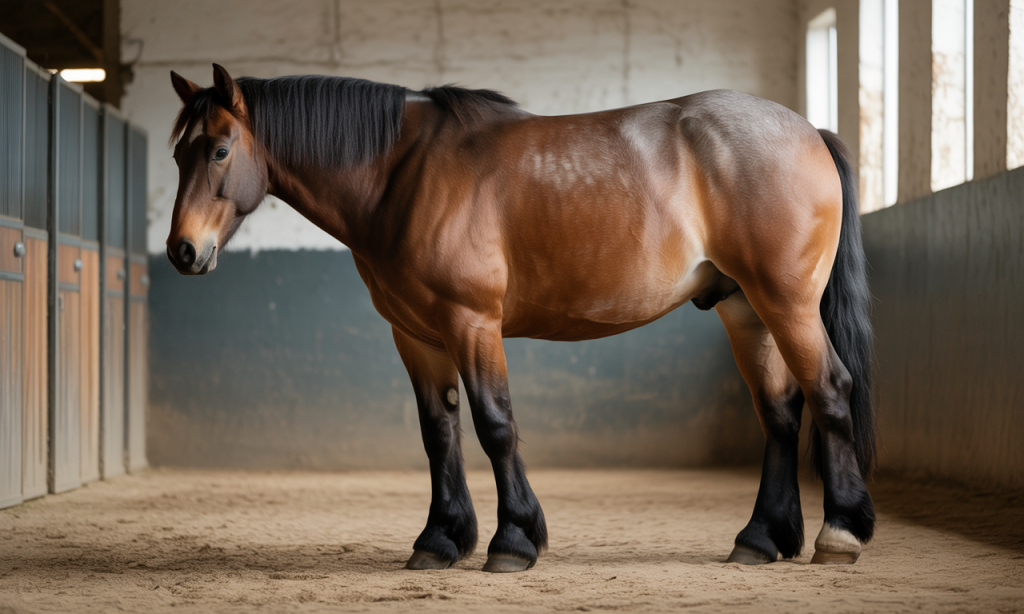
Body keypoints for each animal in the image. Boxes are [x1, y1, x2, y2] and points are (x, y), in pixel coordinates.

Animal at [165, 64, 875, 573]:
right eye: (178, 155)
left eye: (221, 149)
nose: (182, 251)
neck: (403, 175)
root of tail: (809, 130)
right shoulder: (415, 335)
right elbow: (439, 433)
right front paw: (440, 539)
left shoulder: (471, 322)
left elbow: (494, 424)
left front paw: (512, 540)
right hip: (744, 309)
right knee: (781, 412)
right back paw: (760, 538)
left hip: (785, 303)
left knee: (829, 390)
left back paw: (839, 532)